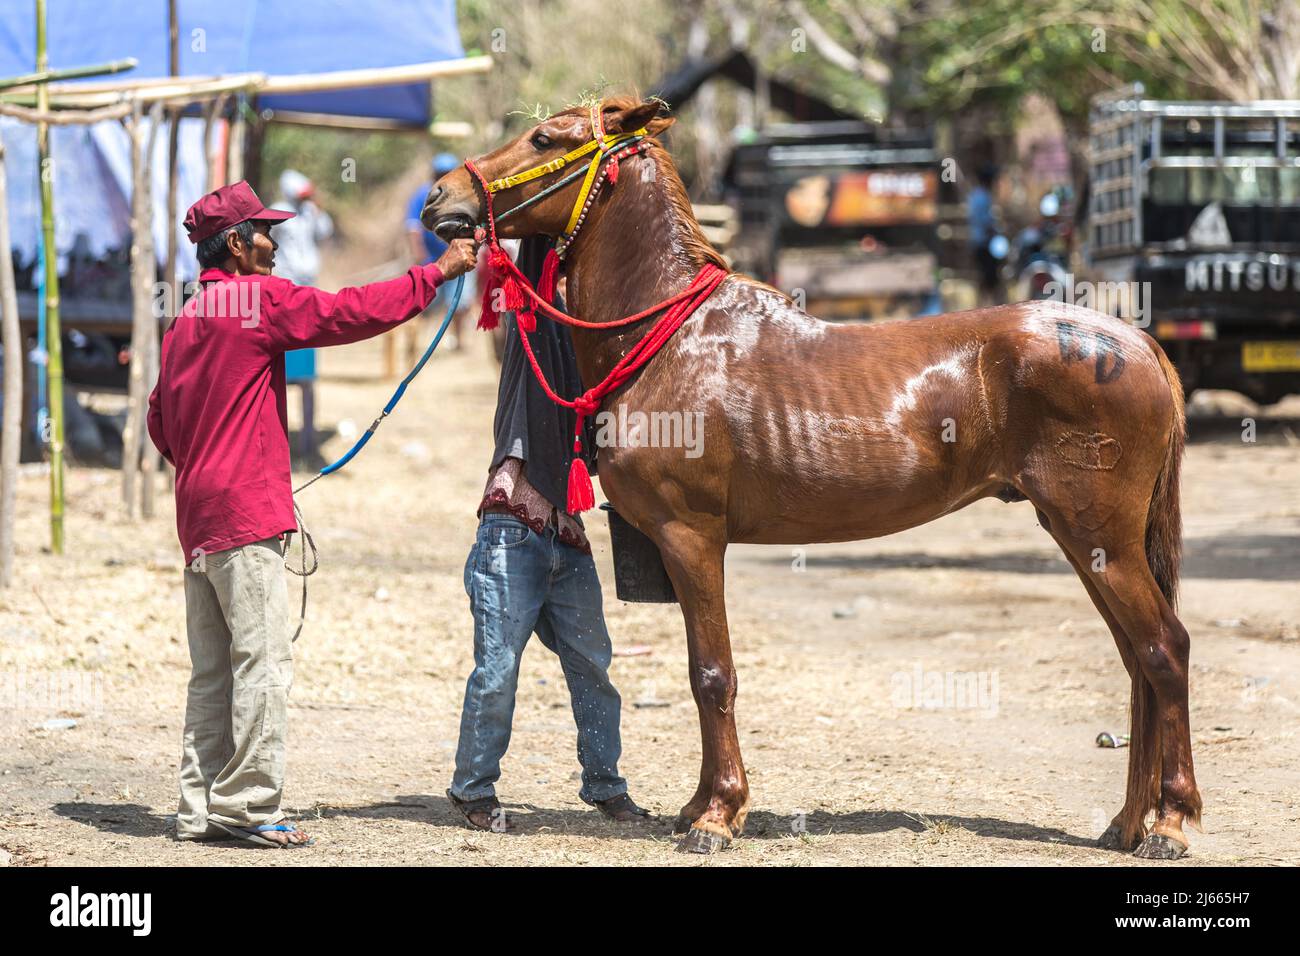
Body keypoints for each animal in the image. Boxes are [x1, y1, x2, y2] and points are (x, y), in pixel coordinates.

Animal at [423, 96, 1201, 858]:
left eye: (543, 138)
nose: (439, 198)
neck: (675, 338)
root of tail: (1136, 344)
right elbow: (702, 671)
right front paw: (699, 806)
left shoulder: (691, 537)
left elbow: (712, 673)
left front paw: (718, 817)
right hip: (1088, 541)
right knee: (1136, 659)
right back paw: (1127, 824)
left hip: (1099, 536)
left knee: (1164, 650)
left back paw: (1169, 823)